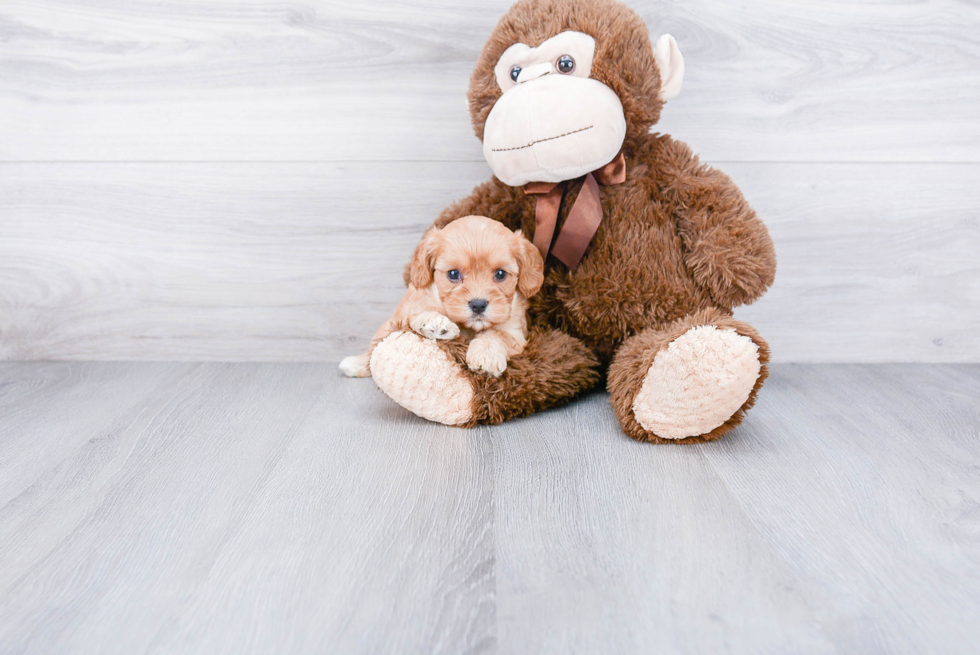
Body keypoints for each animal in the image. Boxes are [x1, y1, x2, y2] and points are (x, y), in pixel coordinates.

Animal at [340, 215, 544, 380]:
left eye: (500, 274)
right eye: (453, 274)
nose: (478, 305)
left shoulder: (515, 332)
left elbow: (497, 334)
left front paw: (486, 356)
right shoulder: (412, 306)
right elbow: (417, 315)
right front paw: (435, 323)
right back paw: (355, 364)